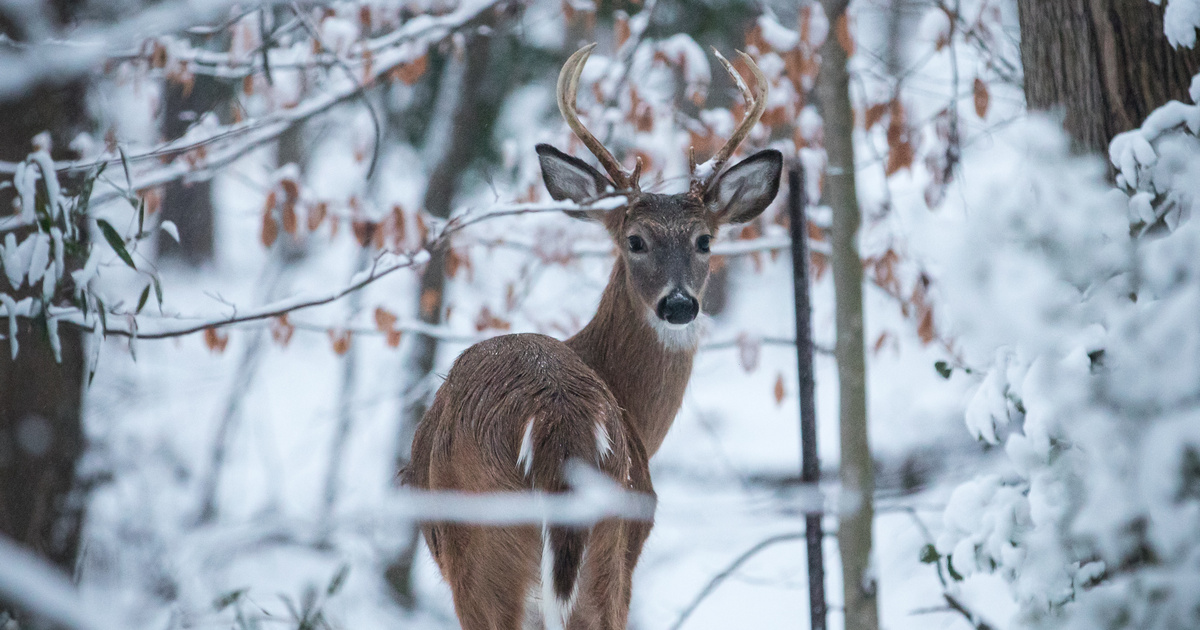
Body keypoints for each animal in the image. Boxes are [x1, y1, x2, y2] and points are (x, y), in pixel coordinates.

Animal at [402, 42, 781, 630]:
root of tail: (559, 428)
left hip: (491, 558)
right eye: (635, 240)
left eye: (704, 241)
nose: (678, 304)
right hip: (604, 557)